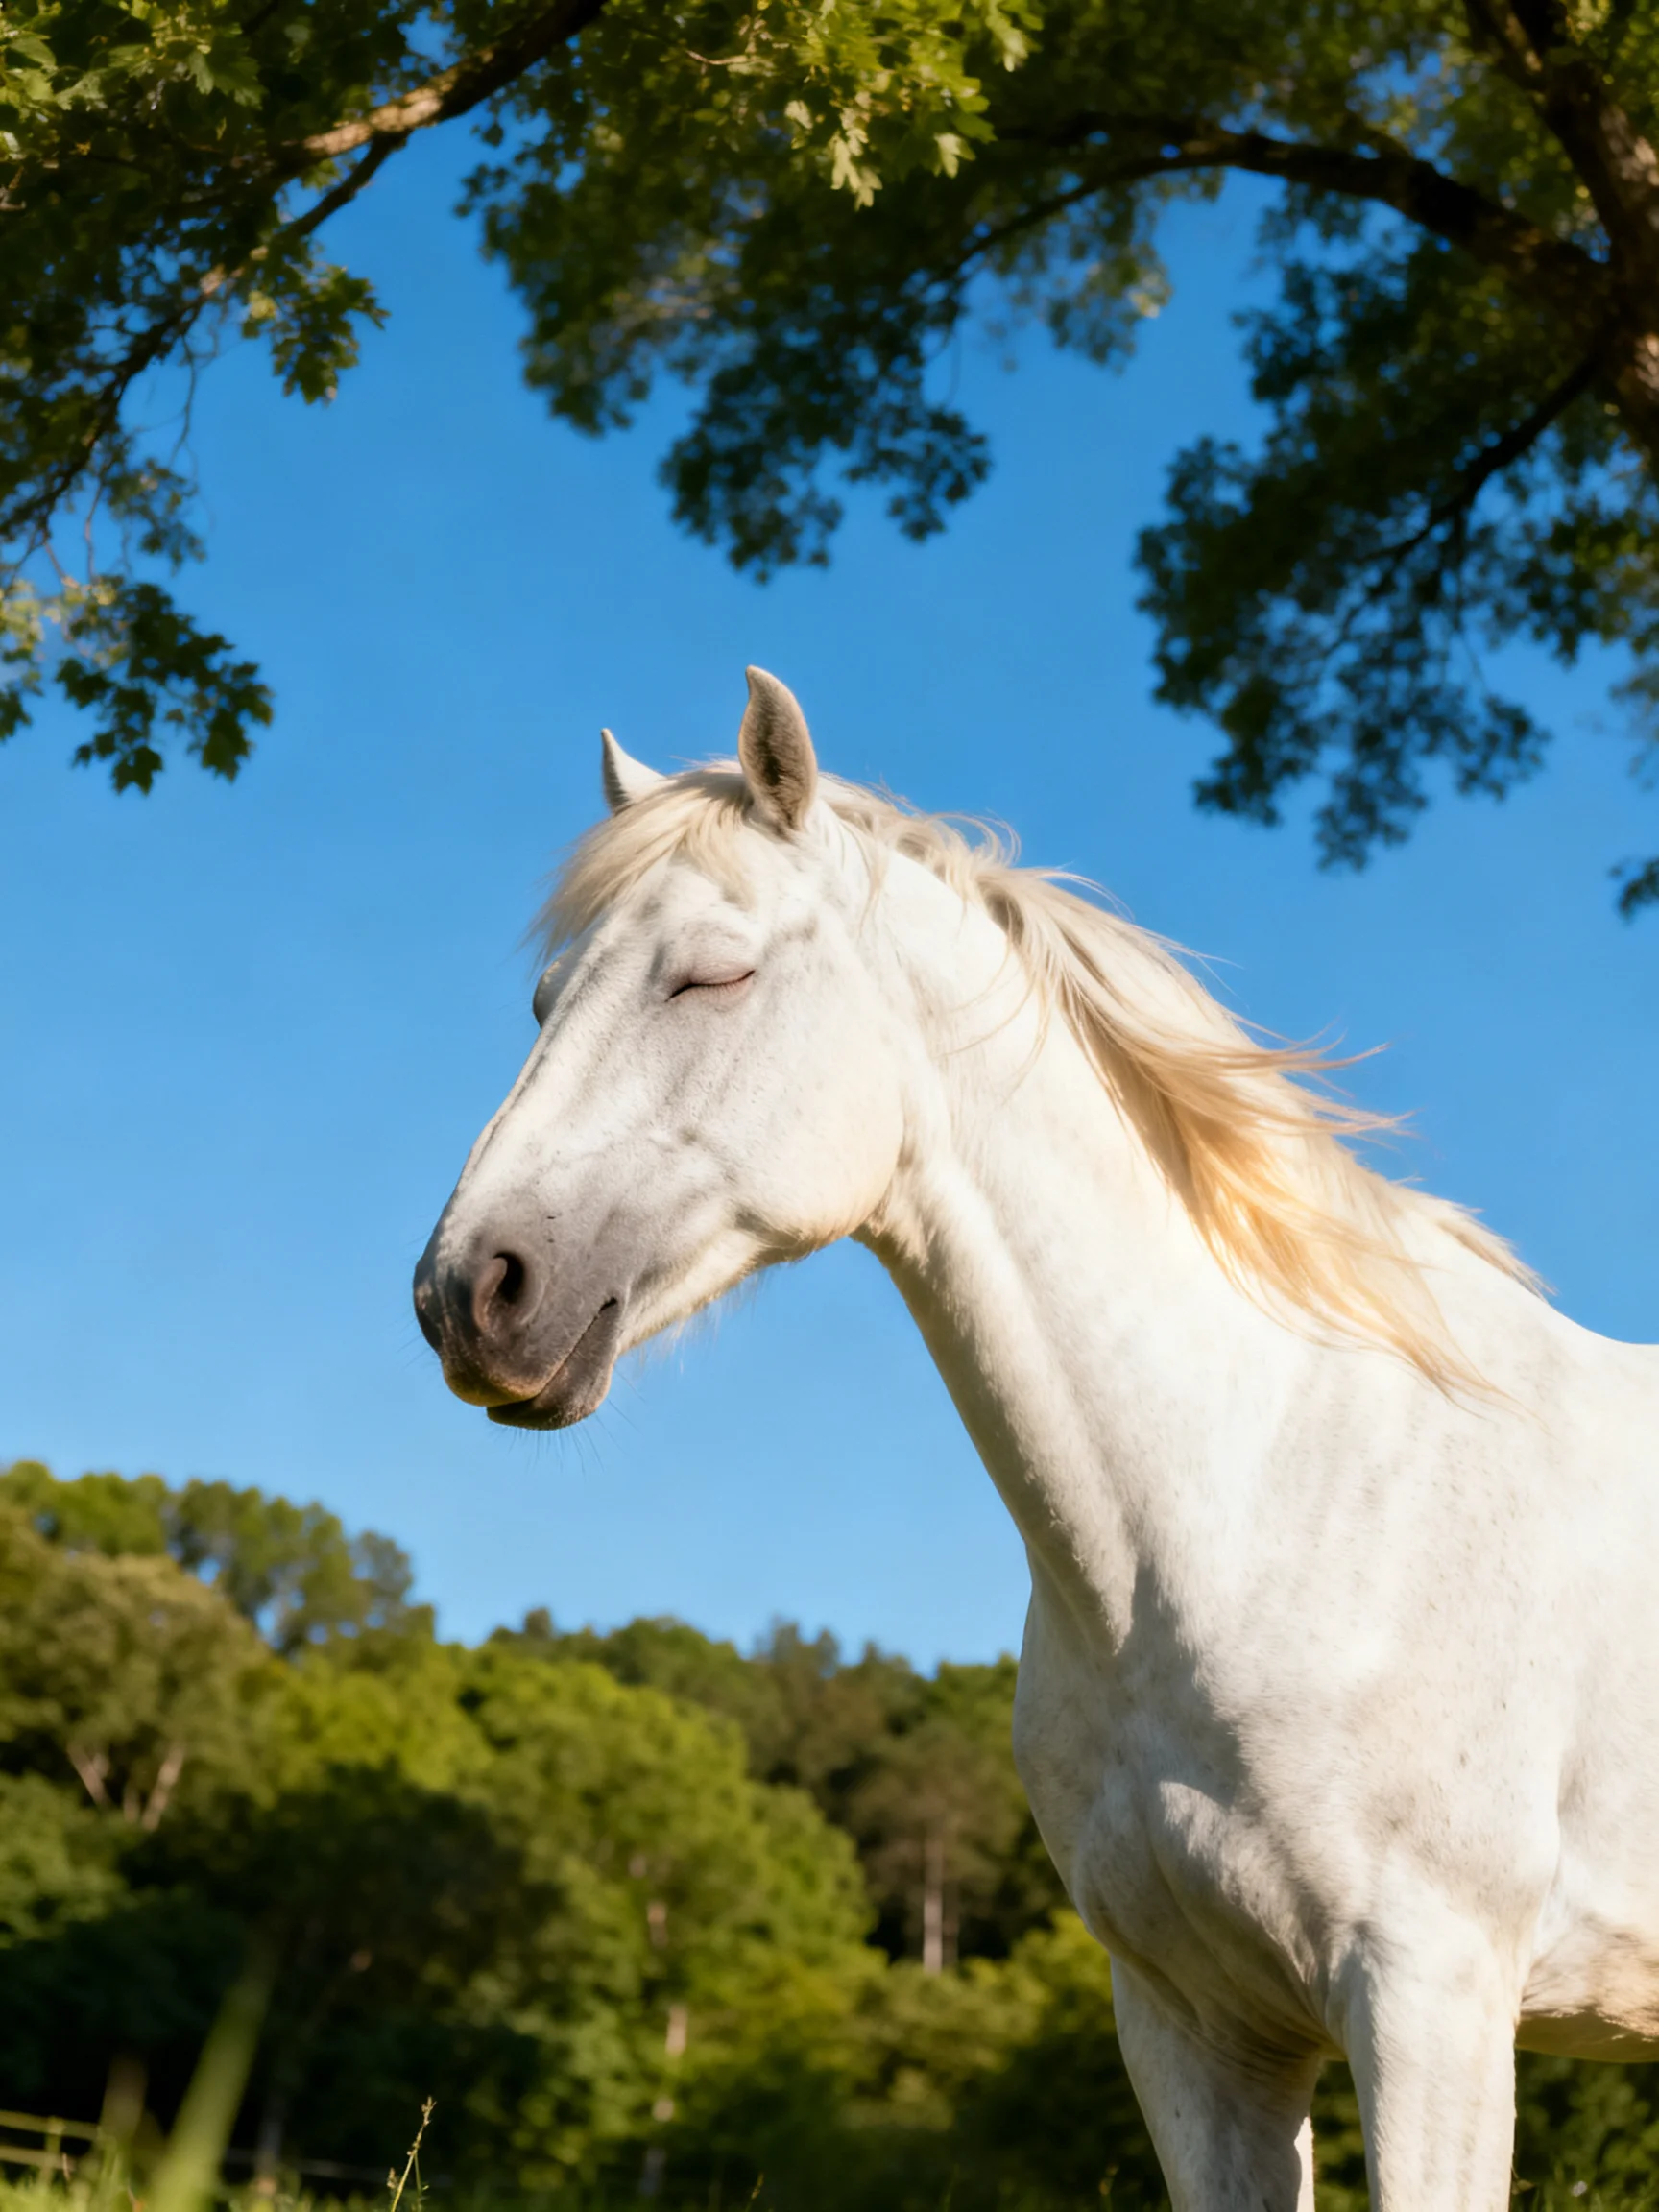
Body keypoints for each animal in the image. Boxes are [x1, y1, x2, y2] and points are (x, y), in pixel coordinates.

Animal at [414, 667, 1659, 2208]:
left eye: (711, 975)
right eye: (543, 999)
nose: (471, 1294)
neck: (1267, 1500)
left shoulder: (1433, 2004)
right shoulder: (1198, 2027)